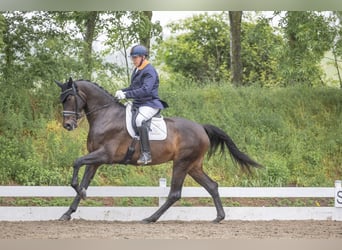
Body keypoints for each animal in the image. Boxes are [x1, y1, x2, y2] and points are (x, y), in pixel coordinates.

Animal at [54, 78, 262, 223]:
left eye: (70, 98)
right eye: (62, 99)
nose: (68, 125)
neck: (106, 115)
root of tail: (202, 128)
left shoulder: (105, 155)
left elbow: (76, 163)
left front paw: (80, 194)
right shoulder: (96, 160)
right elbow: (84, 181)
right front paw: (68, 211)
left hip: (182, 163)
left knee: (175, 194)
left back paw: (150, 218)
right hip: (193, 166)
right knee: (212, 186)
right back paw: (219, 217)